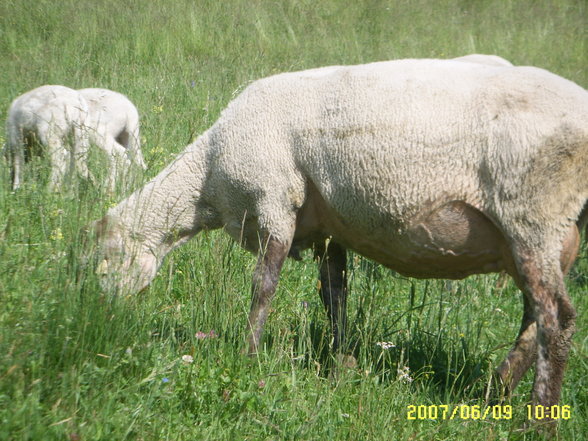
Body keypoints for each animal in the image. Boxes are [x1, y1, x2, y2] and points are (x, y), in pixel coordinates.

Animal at [92, 58, 588, 416]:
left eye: (103, 260)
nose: (105, 317)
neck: (207, 178)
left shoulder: (274, 198)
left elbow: (262, 285)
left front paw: (248, 354)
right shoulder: (330, 229)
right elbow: (335, 295)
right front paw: (341, 363)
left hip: (532, 213)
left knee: (556, 319)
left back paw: (537, 417)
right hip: (546, 236)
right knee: (534, 316)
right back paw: (495, 388)